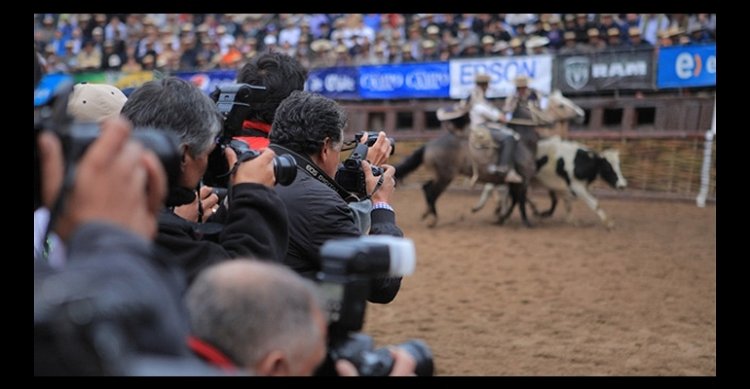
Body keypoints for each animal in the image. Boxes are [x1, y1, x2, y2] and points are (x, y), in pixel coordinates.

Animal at [396, 90, 584, 227]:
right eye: (561, 105)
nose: (581, 114)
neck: (523, 142)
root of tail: (428, 145)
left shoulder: (514, 182)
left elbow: (515, 200)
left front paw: (502, 218)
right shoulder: (523, 179)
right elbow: (521, 200)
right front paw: (526, 221)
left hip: (440, 175)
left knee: (426, 188)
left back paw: (428, 214)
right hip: (445, 176)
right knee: (431, 192)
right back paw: (433, 218)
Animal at [476, 136, 628, 227]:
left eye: (619, 165)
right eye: (608, 167)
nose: (622, 185)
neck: (579, 161)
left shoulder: (563, 187)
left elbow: (563, 203)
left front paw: (570, 219)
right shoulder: (576, 186)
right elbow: (594, 203)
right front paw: (608, 223)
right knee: (494, 189)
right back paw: (484, 208)